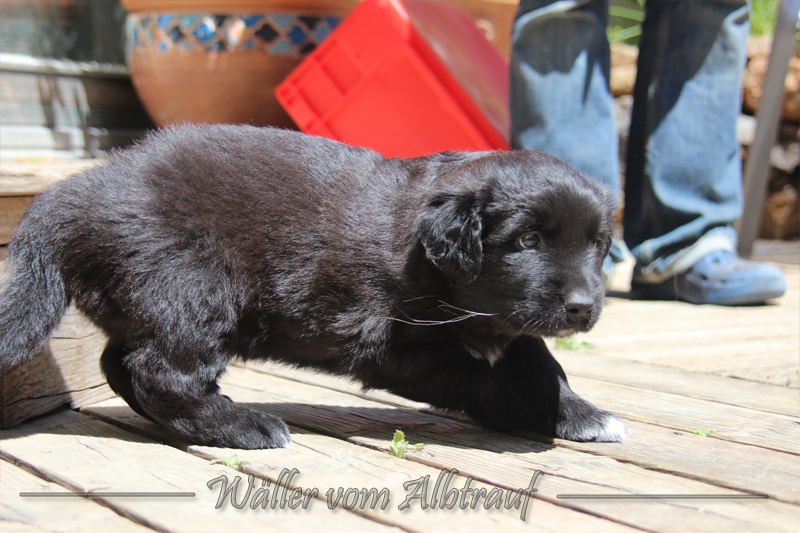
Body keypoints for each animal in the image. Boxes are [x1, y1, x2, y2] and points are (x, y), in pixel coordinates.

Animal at [0, 124, 626, 448]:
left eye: (599, 245)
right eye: (527, 241)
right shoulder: (392, 345)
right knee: (159, 370)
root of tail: (76, 191)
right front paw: (532, 412)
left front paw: (578, 412)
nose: (581, 307)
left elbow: (542, 363)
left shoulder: (508, 328)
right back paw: (242, 426)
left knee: (122, 364)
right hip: (191, 287)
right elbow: (478, 375)